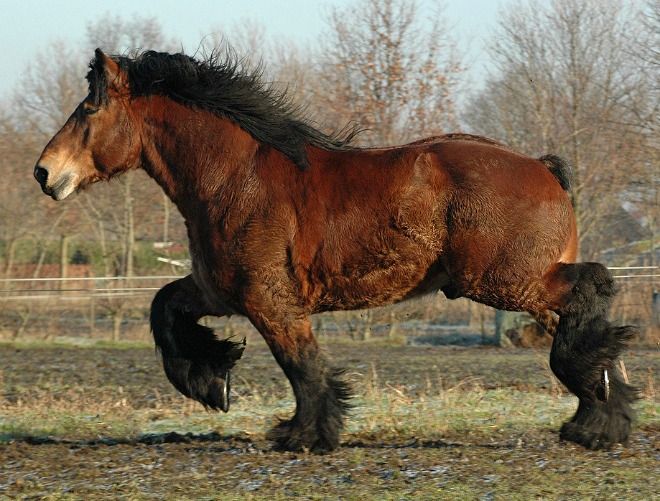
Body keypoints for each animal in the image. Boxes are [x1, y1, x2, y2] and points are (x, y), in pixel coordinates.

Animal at [33, 48, 636, 452]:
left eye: (89, 109)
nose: (45, 172)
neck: (234, 178)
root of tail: (545, 169)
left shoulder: (269, 301)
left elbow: (302, 365)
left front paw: (302, 434)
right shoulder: (216, 290)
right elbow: (164, 309)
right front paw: (211, 382)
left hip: (504, 280)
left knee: (594, 288)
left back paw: (592, 421)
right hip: (522, 283)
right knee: (592, 324)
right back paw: (603, 418)